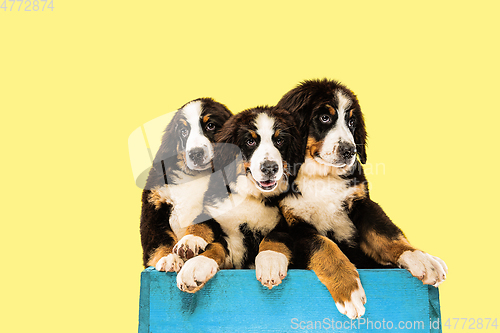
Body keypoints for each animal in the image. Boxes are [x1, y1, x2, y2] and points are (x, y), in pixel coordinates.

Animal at [141, 96, 232, 270]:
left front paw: (190, 241)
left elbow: (202, 223)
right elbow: (160, 240)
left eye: (210, 125)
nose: (195, 153)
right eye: (183, 132)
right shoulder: (153, 208)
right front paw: (168, 258)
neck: (195, 176)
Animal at [167, 106, 300, 290]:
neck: (249, 195)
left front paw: (270, 262)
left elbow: (274, 238)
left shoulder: (288, 225)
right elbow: (210, 237)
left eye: (279, 141)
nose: (270, 167)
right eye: (250, 142)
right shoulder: (217, 215)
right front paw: (193, 256)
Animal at [276, 78, 448, 320]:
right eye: (324, 118)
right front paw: (348, 288)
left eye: (351, 122)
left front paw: (420, 258)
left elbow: (386, 233)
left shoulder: (362, 203)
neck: (321, 176)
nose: (350, 150)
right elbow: (324, 245)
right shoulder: (294, 225)